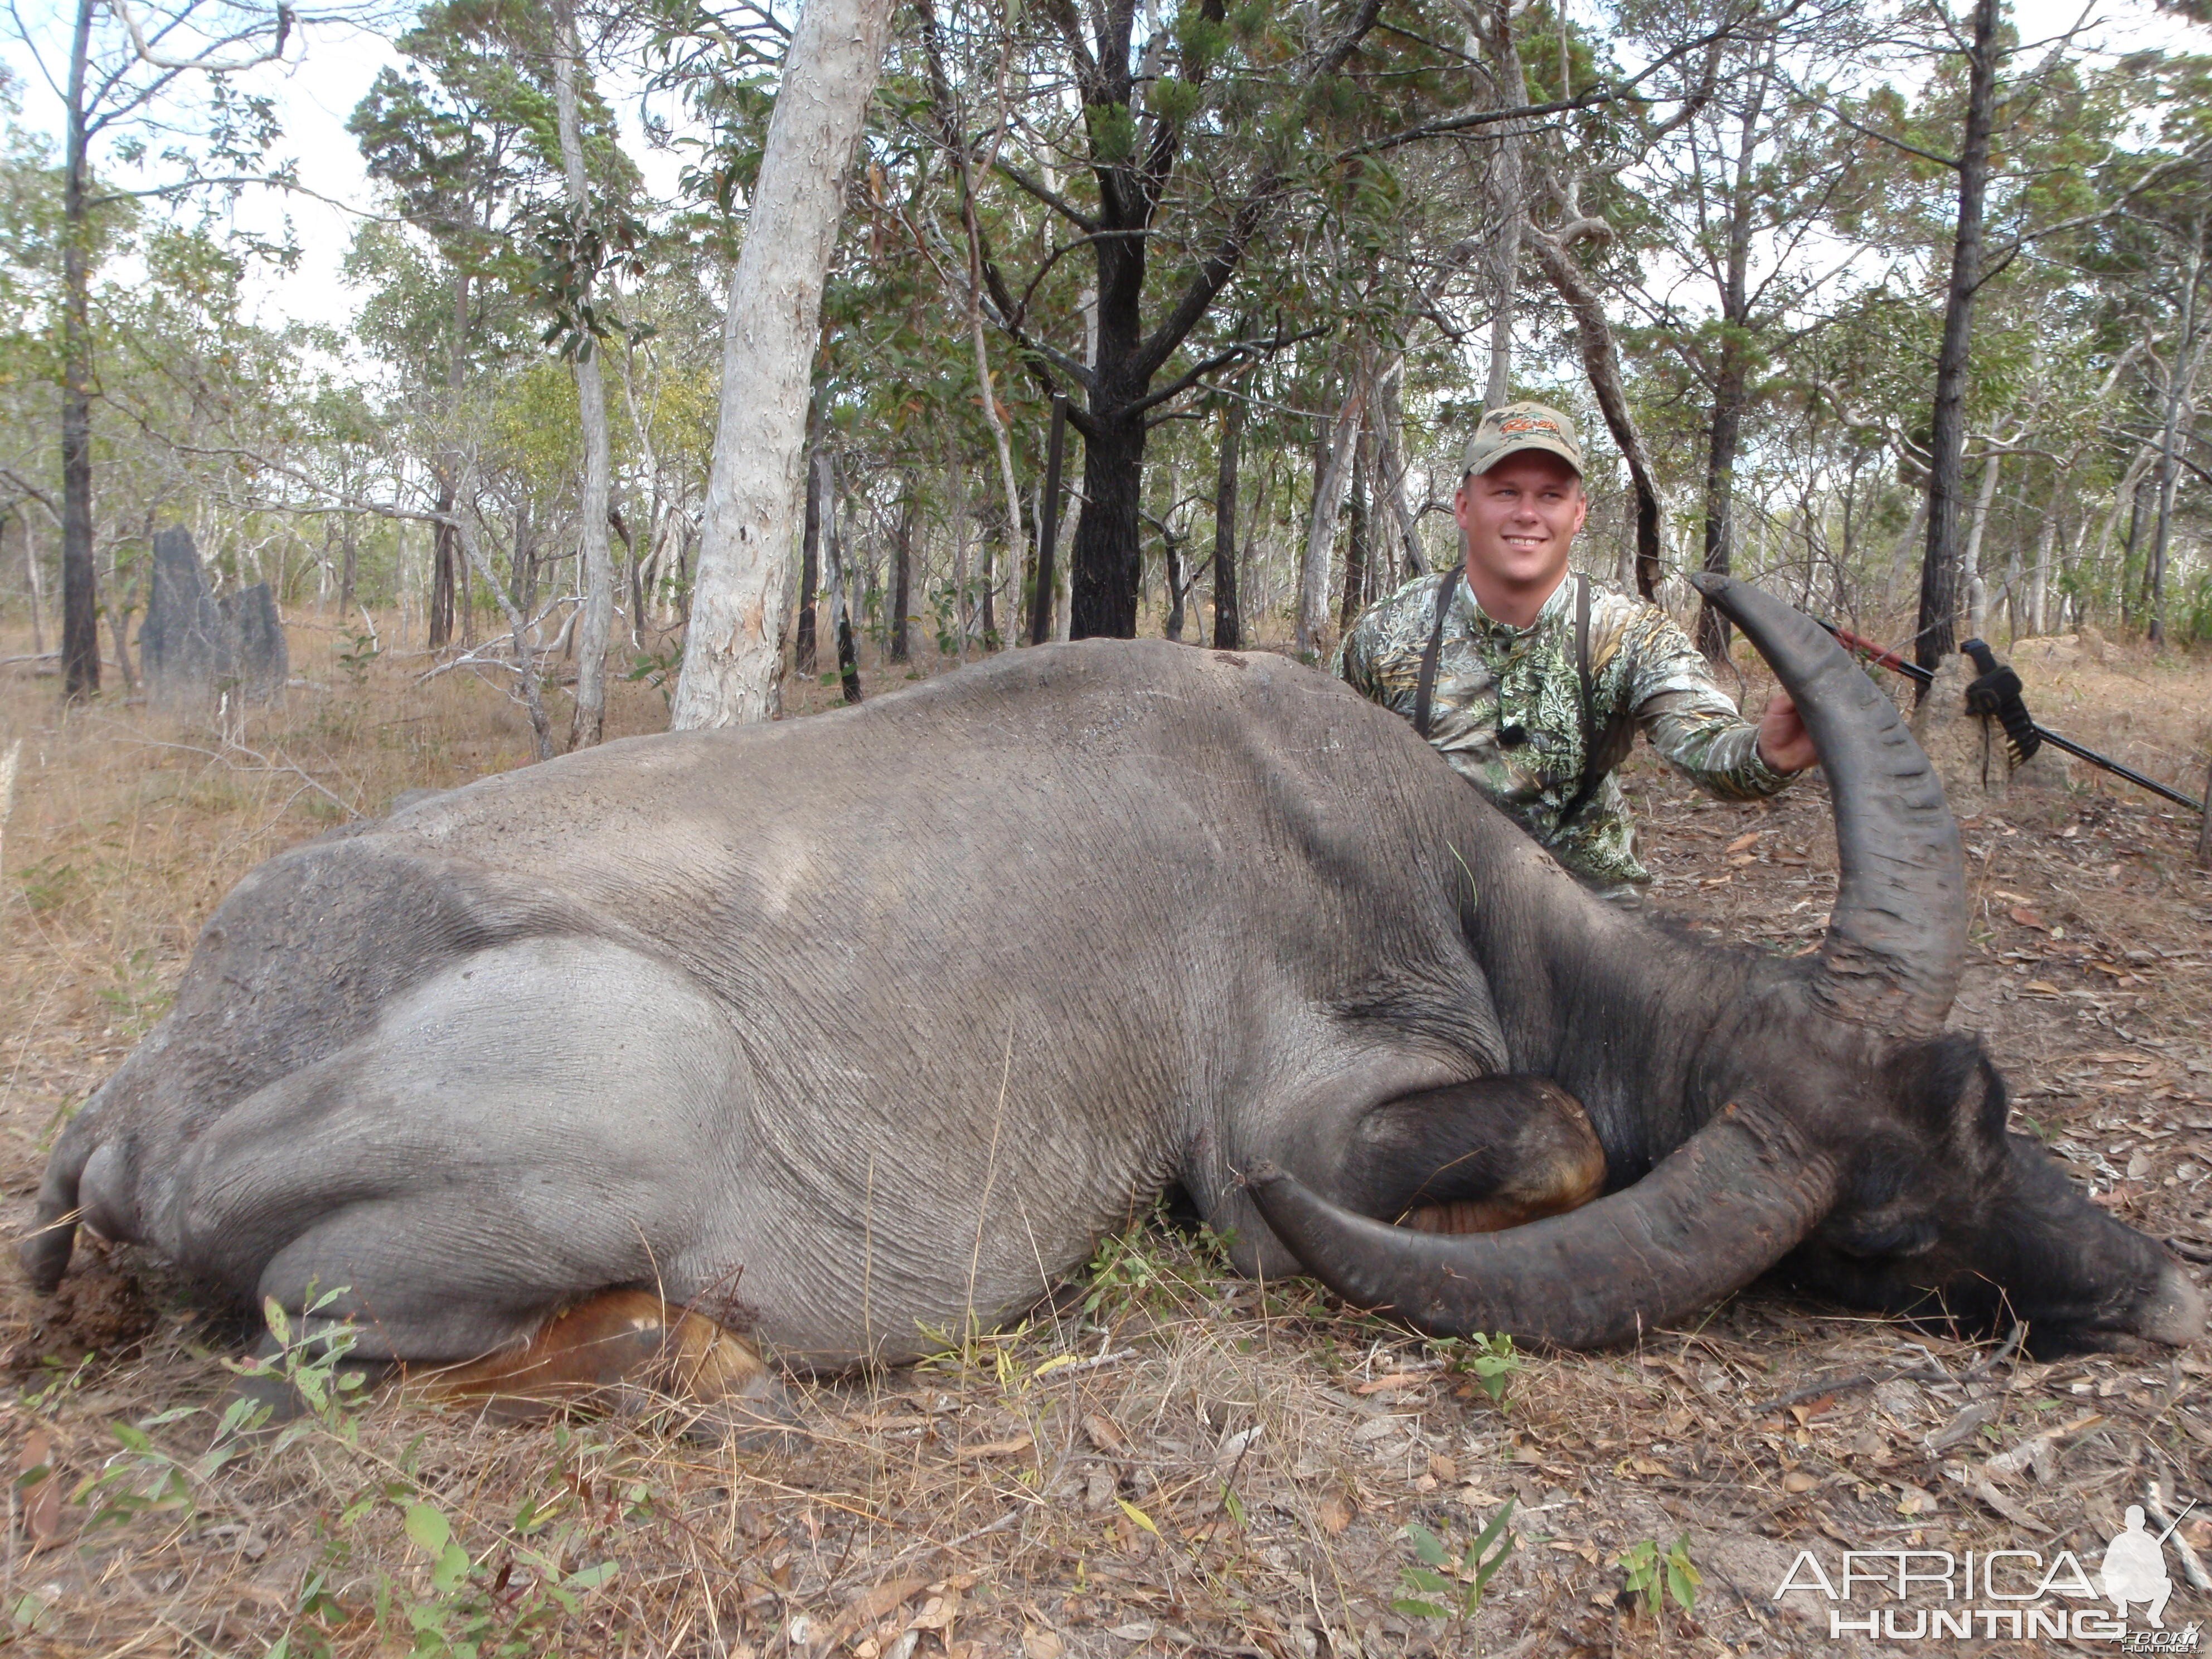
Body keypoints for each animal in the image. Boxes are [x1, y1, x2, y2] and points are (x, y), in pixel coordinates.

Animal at [21, 584, 2212, 1406]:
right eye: (1886, 1230)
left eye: (1990, 1108)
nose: (2143, 1283)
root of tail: (144, 1103)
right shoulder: (1275, 1148)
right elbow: (1553, 1132)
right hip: (619, 1094)